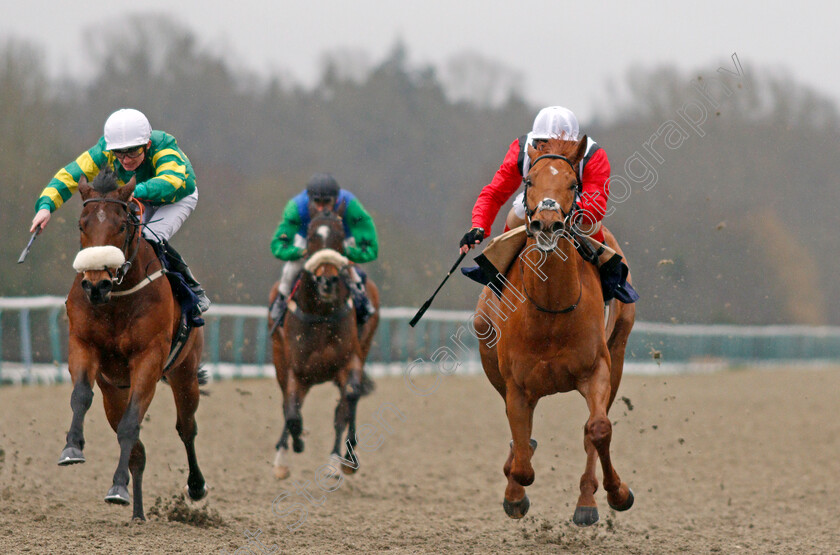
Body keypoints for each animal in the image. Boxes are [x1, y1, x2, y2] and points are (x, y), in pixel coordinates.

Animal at [59, 169, 208, 520]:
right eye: (82, 225)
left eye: (121, 226)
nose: (96, 285)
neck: (115, 299)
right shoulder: (83, 345)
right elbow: (81, 396)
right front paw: (72, 447)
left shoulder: (148, 359)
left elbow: (131, 426)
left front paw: (116, 486)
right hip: (115, 390)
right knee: (137, 449)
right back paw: (136, 508)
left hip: (184, 373)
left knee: (186, 427)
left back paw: (195, 487)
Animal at [270, 211, 380, 480]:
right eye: (311, 237)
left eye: (339, 236)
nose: (327, 280)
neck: (320, 313)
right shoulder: (294, 370)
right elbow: (292, 413)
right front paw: (296, 444)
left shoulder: (349, 361)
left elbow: (348, 401)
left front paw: (342, 459)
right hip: (281, 360)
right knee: (288, 405)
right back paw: (283, 453)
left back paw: (341, 458)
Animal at [472, 137, 636, 528]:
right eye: (529, 181)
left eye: (574, 184)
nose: (547, 223)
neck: (548, 311)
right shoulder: (516, 385)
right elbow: (522, 457)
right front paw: (515, 494)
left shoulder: (596, 370)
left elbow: (598, 429)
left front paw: (617, 493)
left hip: (619, 350)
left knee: (591, 431)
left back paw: (587, 501)